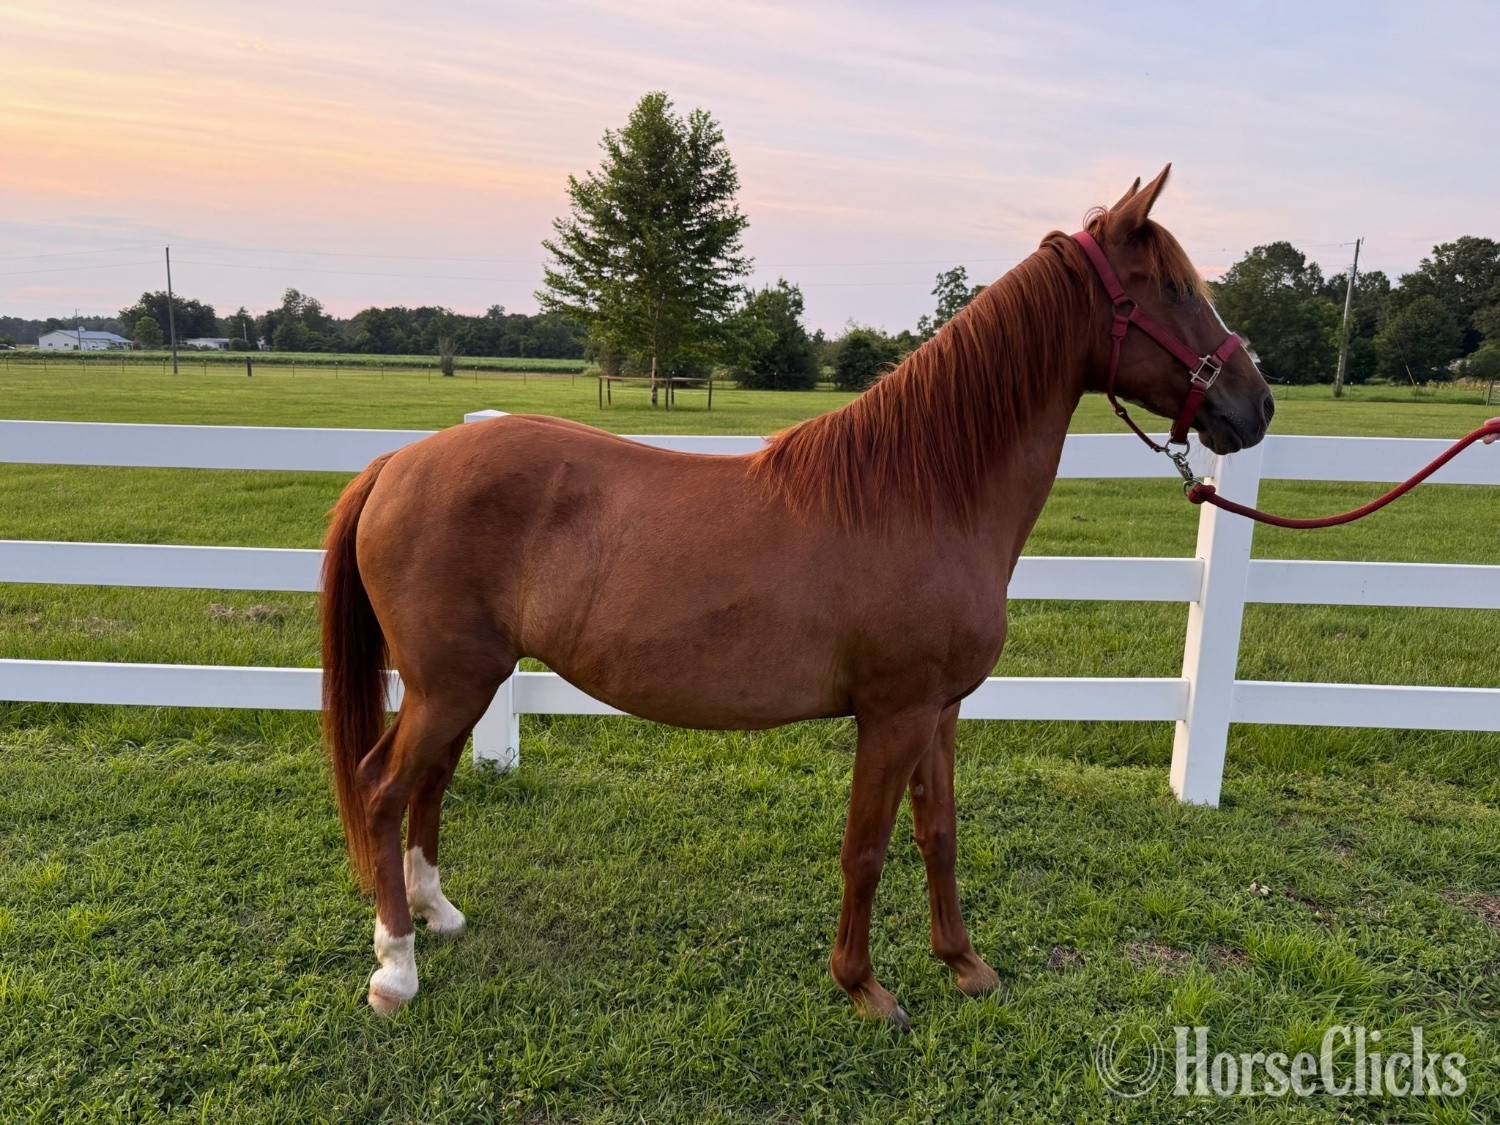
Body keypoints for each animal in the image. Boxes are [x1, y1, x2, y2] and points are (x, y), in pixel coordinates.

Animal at [321, 165, 1274, 1025]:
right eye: (1175, 289)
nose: (1257, 404)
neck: (925, 491)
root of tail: (396, 462)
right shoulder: (892, 713)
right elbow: (867, 848)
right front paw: (865, 987)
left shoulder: (940, 710)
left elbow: (939, 835)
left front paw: (965, 965)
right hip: (450, 682)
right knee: (383, 787)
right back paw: (395, 968)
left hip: (466, 682)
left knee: (429, 783)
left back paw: (436, 913)